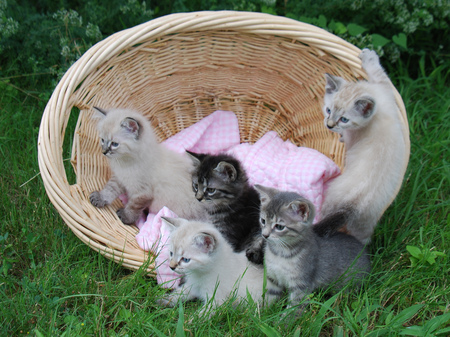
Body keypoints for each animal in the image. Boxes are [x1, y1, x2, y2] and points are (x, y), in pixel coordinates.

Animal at [255, 184, 370, 316]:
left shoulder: (301, 286)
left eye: (279, 227)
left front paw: (282, 321)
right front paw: (261, 315)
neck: (279, 254)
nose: (265, 235)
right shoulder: (273, 278)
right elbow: (269, 297)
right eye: (263, 221)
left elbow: (293, 310)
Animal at [314, 48, 410, 243]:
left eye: (344, 119)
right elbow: (380, 72)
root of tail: (353, 205)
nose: (329, 125)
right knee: (363, 239)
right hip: (366, 223)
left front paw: (341, 137)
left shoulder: (353, 138)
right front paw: (369, 56)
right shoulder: (385, 90)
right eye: (328, 110)